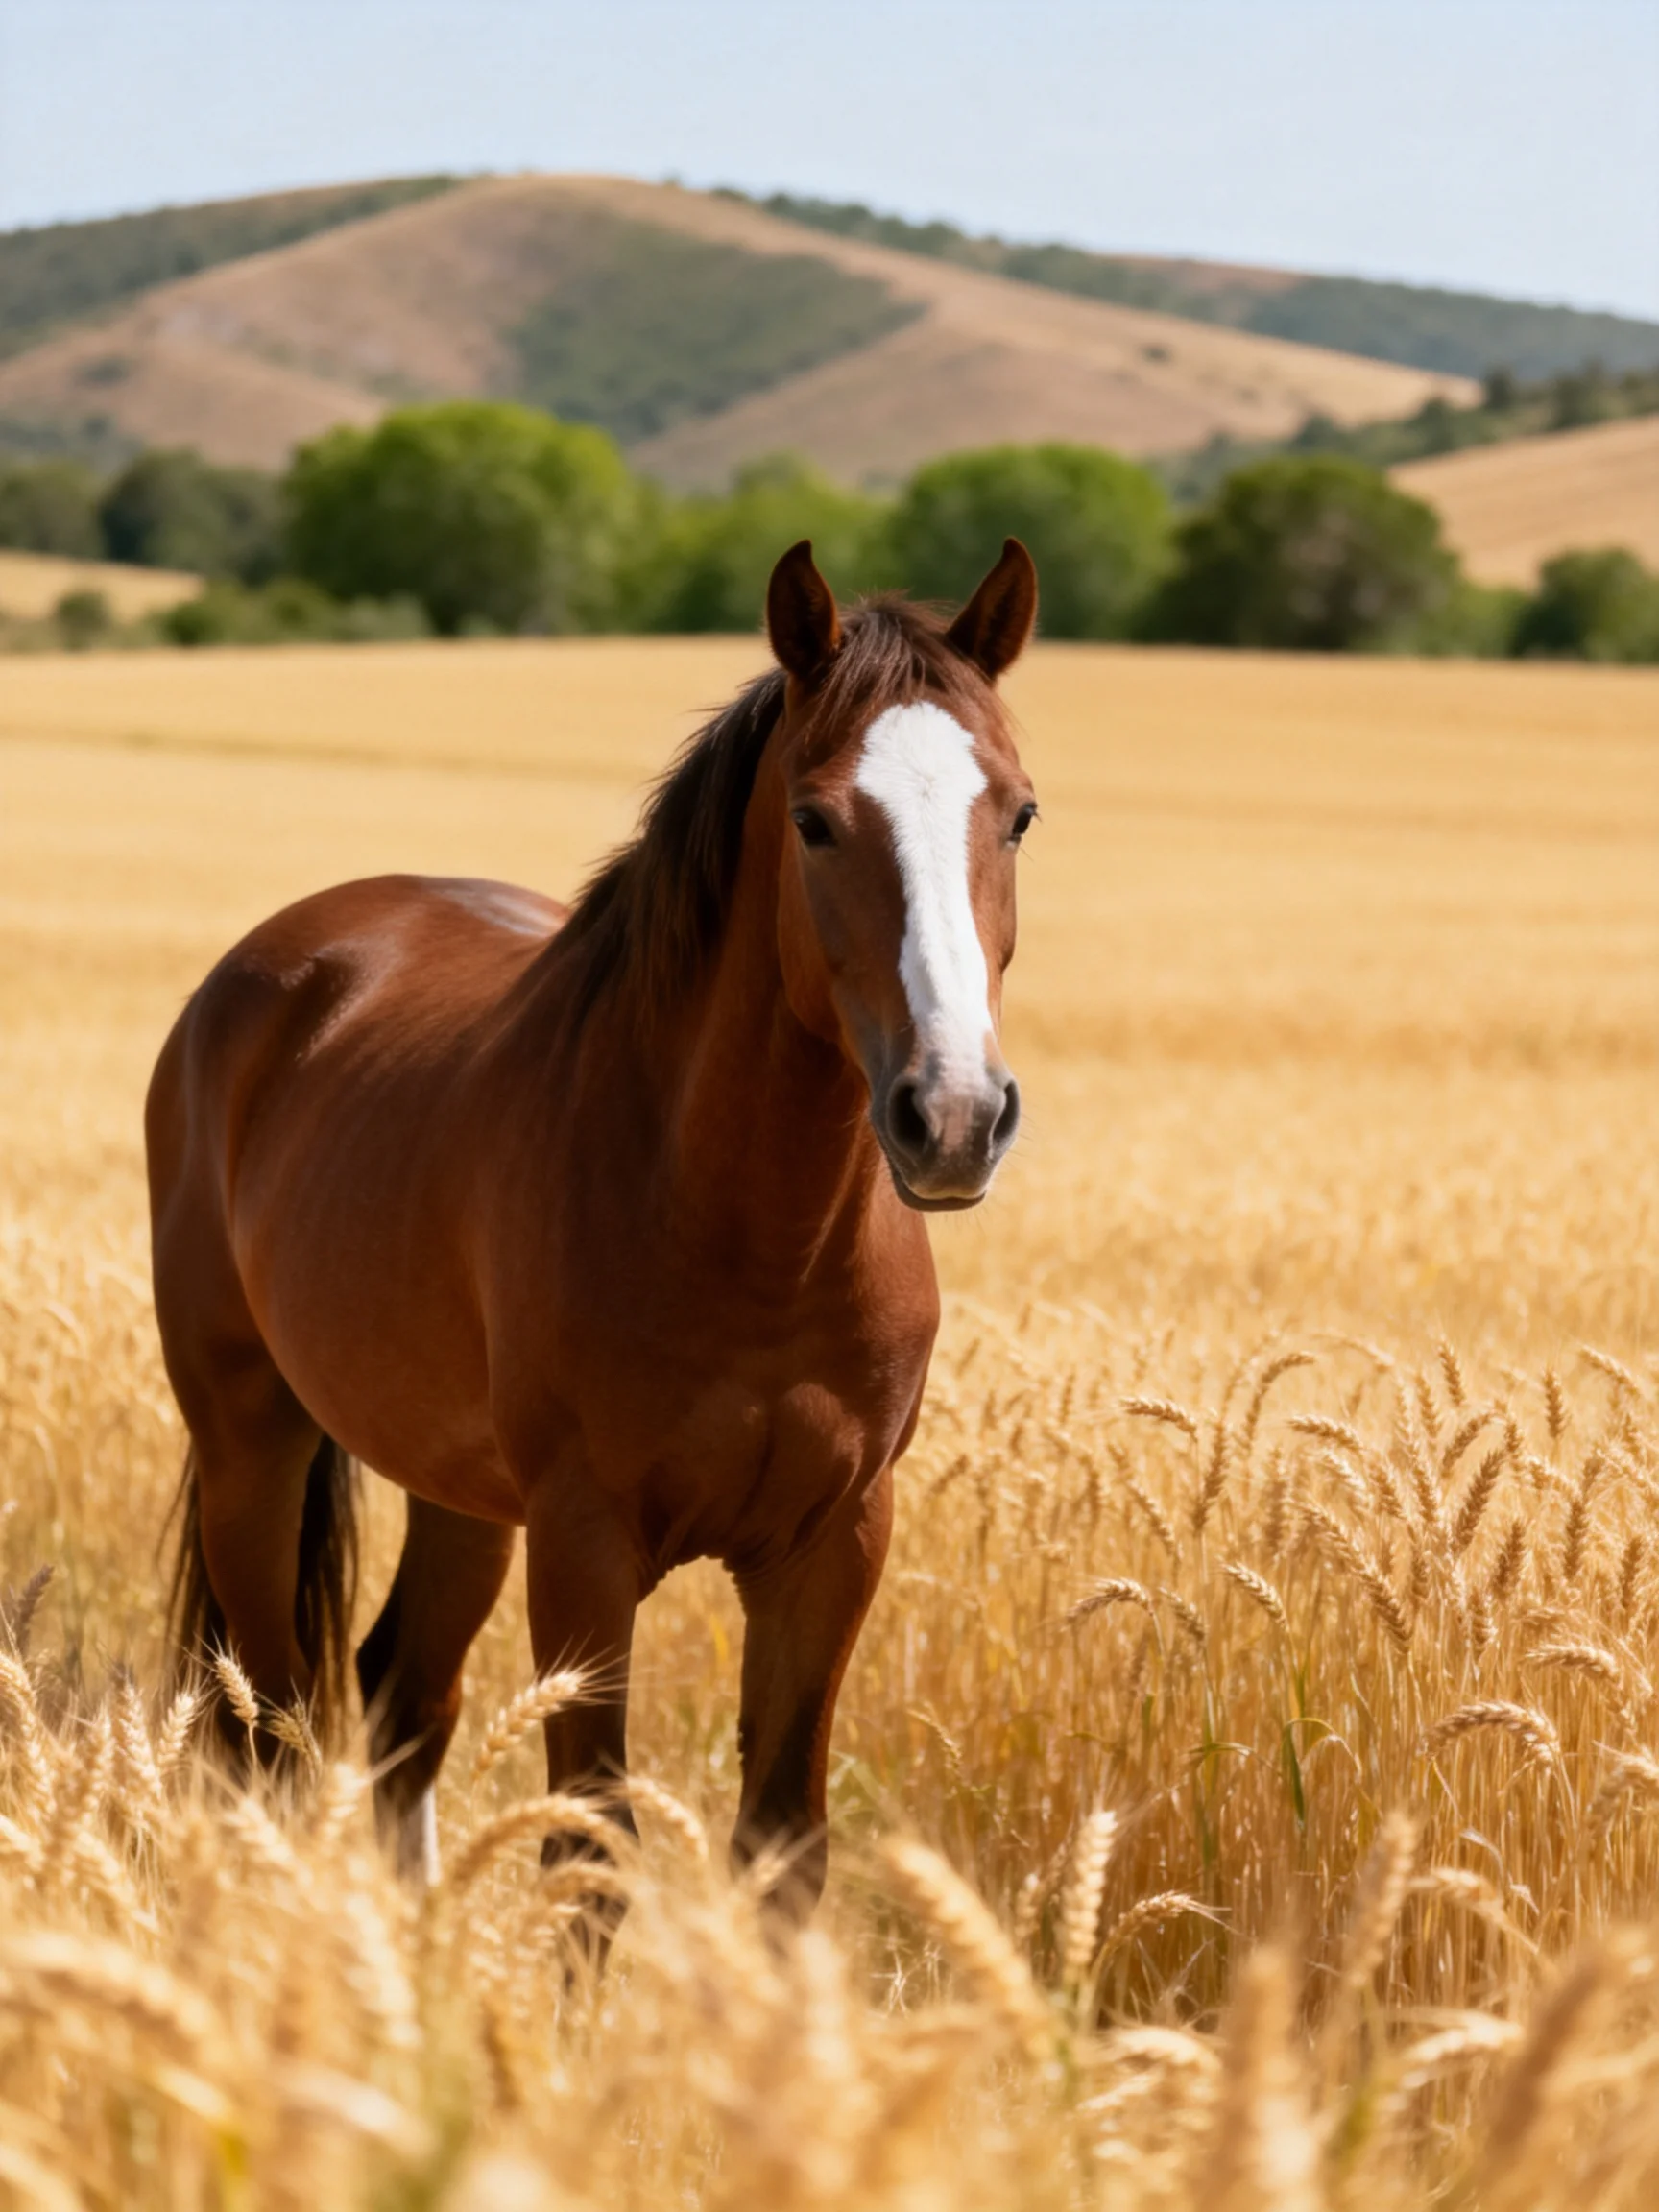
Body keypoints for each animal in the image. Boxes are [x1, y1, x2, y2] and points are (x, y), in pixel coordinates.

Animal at [147, 536, 1039, 1918]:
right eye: (815, 820)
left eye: (1018, 814)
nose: (952, 1116)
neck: (752, 1238)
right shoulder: (586, 1546)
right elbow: (591, 1845)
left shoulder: (833, 1545)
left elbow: (782, 1844)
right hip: (252, 1440)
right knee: (274, 1725)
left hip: (459, 1492)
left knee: (403, 1697)